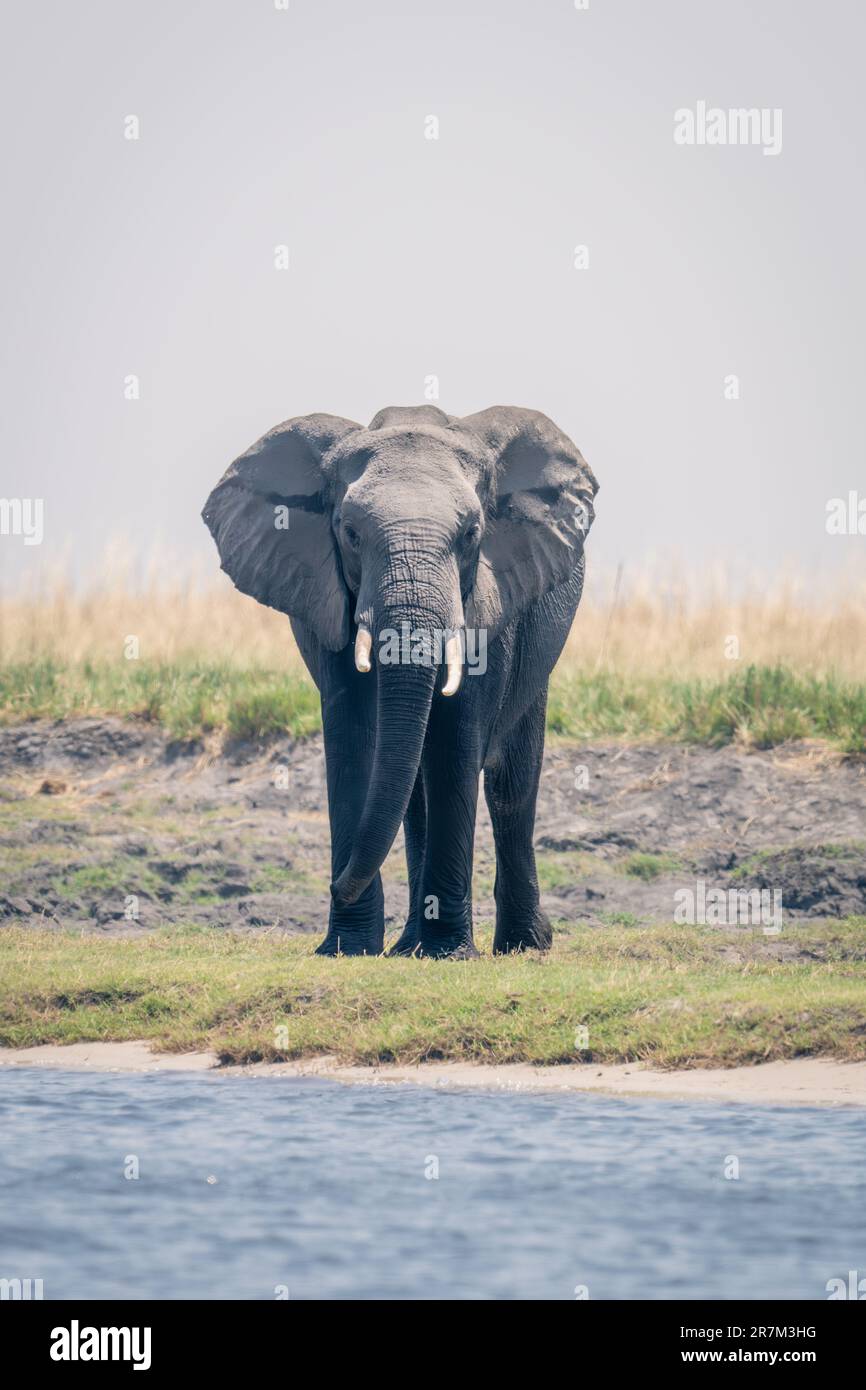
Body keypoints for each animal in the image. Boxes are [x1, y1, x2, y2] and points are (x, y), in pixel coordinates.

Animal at [202, 405, 598, 959]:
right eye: (349, 533)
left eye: (472, 534)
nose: (334, 884)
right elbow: (353, 737)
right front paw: (346, 948)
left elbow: (457, 739)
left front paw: (449, 954)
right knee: (414, 793)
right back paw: (408, 945)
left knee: (510, 785)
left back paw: (522, 946)